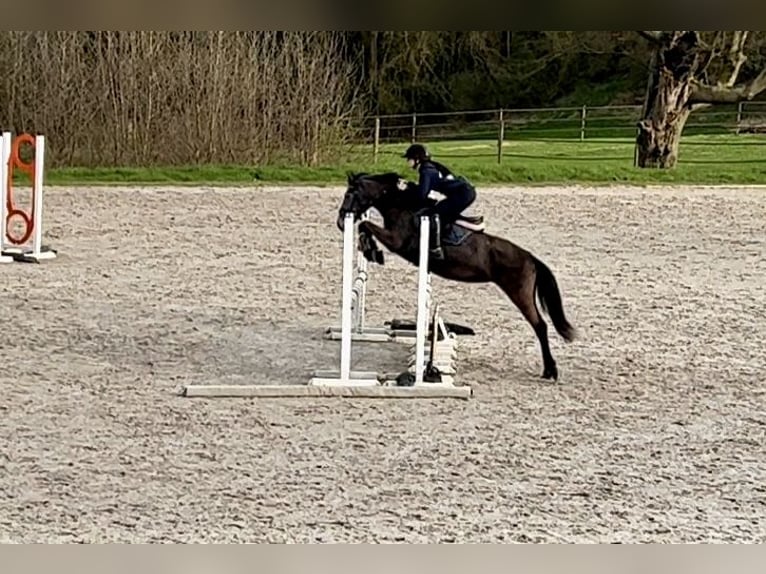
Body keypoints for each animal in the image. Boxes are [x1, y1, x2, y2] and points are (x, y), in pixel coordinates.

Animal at [336, 173, 576, 384]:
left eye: (350, 193)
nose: (340, 221)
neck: (400, 204)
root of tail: (530, 258)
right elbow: (364, 227)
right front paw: (369, 249)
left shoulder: (396, 240)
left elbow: (365, 225)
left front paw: (373, 251)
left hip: (519, 293)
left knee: (540, 326)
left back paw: (550, 370)